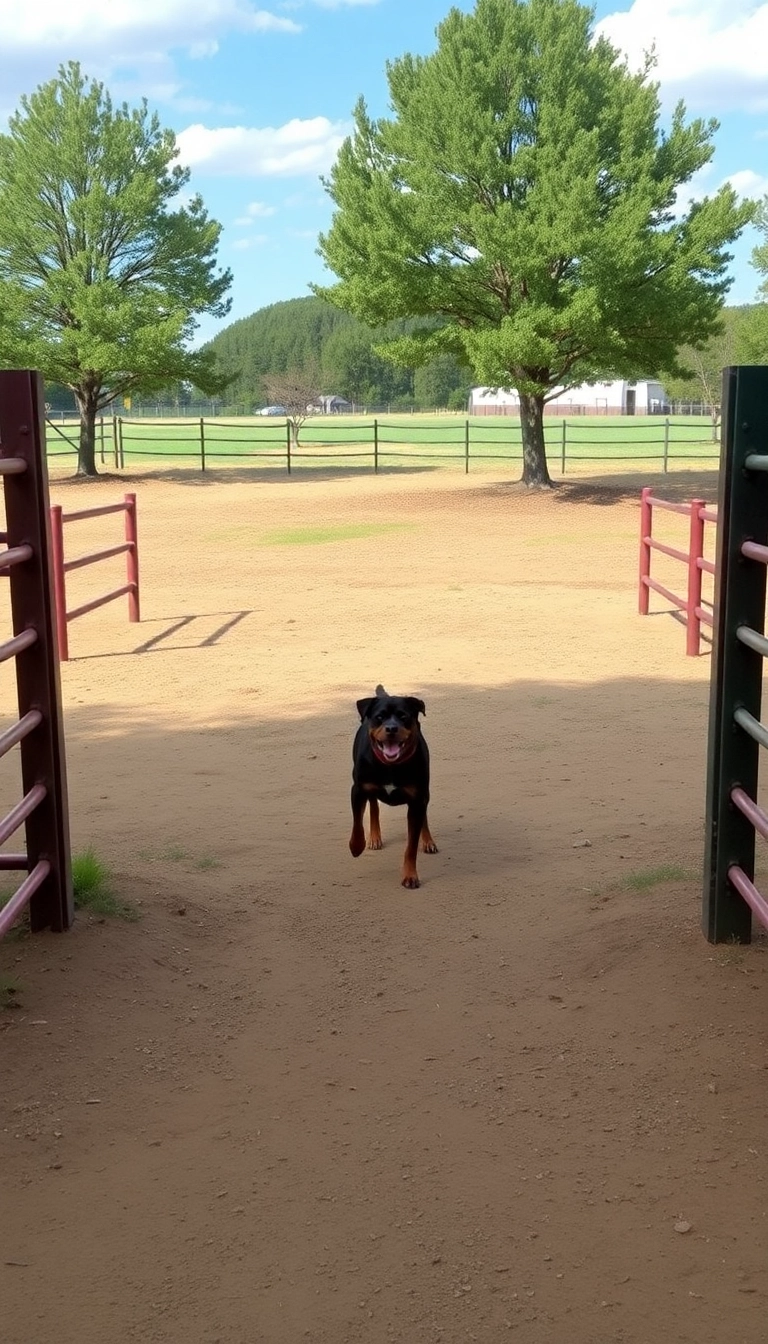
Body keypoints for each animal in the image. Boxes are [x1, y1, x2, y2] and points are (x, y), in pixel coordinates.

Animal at [349, 682, 438, 892]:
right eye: (379, 717)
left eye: (403, 716)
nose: (391, 728)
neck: (391, 766)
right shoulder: (358, 789)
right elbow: (357, 823)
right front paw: (356, 846)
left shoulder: (417, 800)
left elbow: (411, 846)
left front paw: (410, 876)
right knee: (374, 805)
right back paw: (374, 838)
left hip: (425, 793)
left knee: (424, 816)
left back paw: (428, 841)